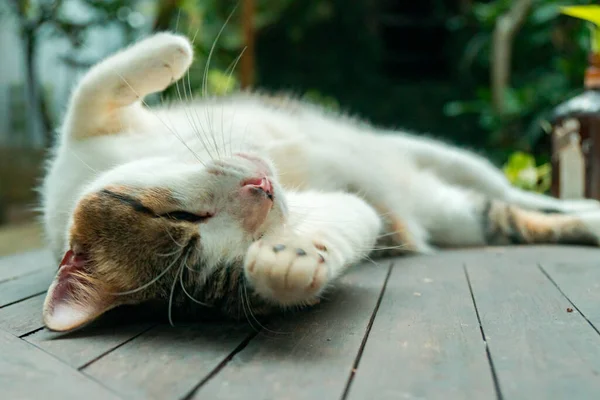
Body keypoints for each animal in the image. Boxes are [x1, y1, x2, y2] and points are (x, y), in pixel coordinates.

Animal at [39, 32, 600, 332]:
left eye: (180, 214)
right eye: (202, 255)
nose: (263, 191)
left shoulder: (84, 138)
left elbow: (90, 86)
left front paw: (170, 50)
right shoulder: (344, 210)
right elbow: (347, 223)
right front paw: (290, 265)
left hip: (443, 155)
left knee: (513, 191)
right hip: (456, 216)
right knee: (511, 217)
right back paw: (588, 221)